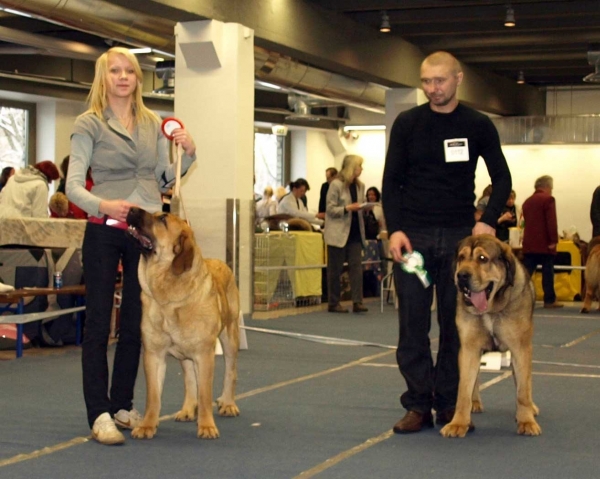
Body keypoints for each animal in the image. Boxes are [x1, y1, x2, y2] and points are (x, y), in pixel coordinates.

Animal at [126, 208, 239, 440]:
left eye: (162, 219)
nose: (131, 209)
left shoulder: (204, 355)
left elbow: (205, 394)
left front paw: (206, 426)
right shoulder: (153, 354)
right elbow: (153, 396)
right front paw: (147, 425)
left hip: (230, 337)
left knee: (230, 372)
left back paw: (228, 403)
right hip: (185, 354)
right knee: (189, 380)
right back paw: (187, 409)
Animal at [438, 235, 540, 438]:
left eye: (482, 259)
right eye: (461, 258)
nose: (461, 275)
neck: (491, 309)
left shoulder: (520, 348)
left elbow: (523, 389)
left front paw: (526, 421)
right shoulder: (469, 348)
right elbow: (463, 390)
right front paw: (458, 423)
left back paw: (529, 410)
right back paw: (475, 402)